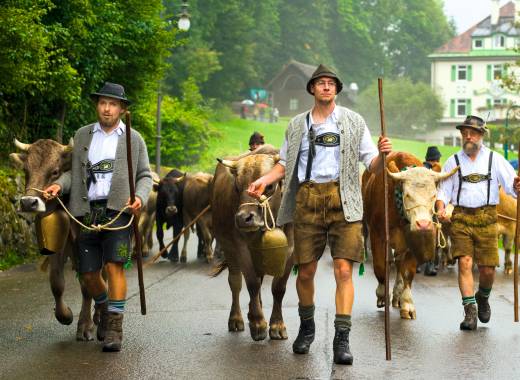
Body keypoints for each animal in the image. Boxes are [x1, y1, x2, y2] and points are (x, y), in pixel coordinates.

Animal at [9, 139, 95, 342]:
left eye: (55, 171)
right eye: (26, 170)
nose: (28, 203)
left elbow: (88, 284)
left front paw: (86, 326)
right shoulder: (55, 245)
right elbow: (56, 283)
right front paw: (66, 315)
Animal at [210, 146, 292, 342]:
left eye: (269, 186)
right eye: (237, 186)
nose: (243, 218)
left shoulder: (292, 250)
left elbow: (279, 288)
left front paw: (277, 325)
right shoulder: (240, 247)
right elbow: (252, 283)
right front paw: (258, 323)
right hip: (227, 246)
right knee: (235, 282)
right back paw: (237, 319)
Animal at [362, 153, 460, 320]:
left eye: (434, 195)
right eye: (407, 195)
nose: (423, 224)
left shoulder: (413, 242)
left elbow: (408, 272)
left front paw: (407, 304)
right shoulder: (377, 235)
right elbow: (380, 266)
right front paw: (381, 295)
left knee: (399, 264)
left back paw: (397, 295)